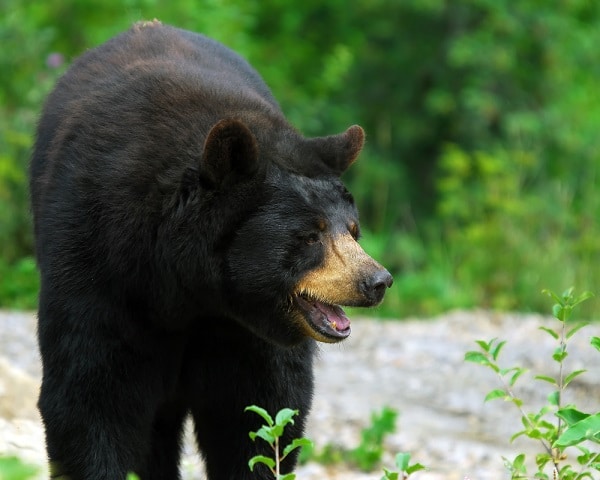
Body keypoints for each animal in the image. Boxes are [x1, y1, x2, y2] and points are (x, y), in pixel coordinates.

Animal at [30, 20, 394, 480]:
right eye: (311, 235)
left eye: (352, 230)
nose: (377, 281)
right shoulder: (98, 258)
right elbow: (90, 394)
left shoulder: (244, 331)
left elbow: (261, 410)